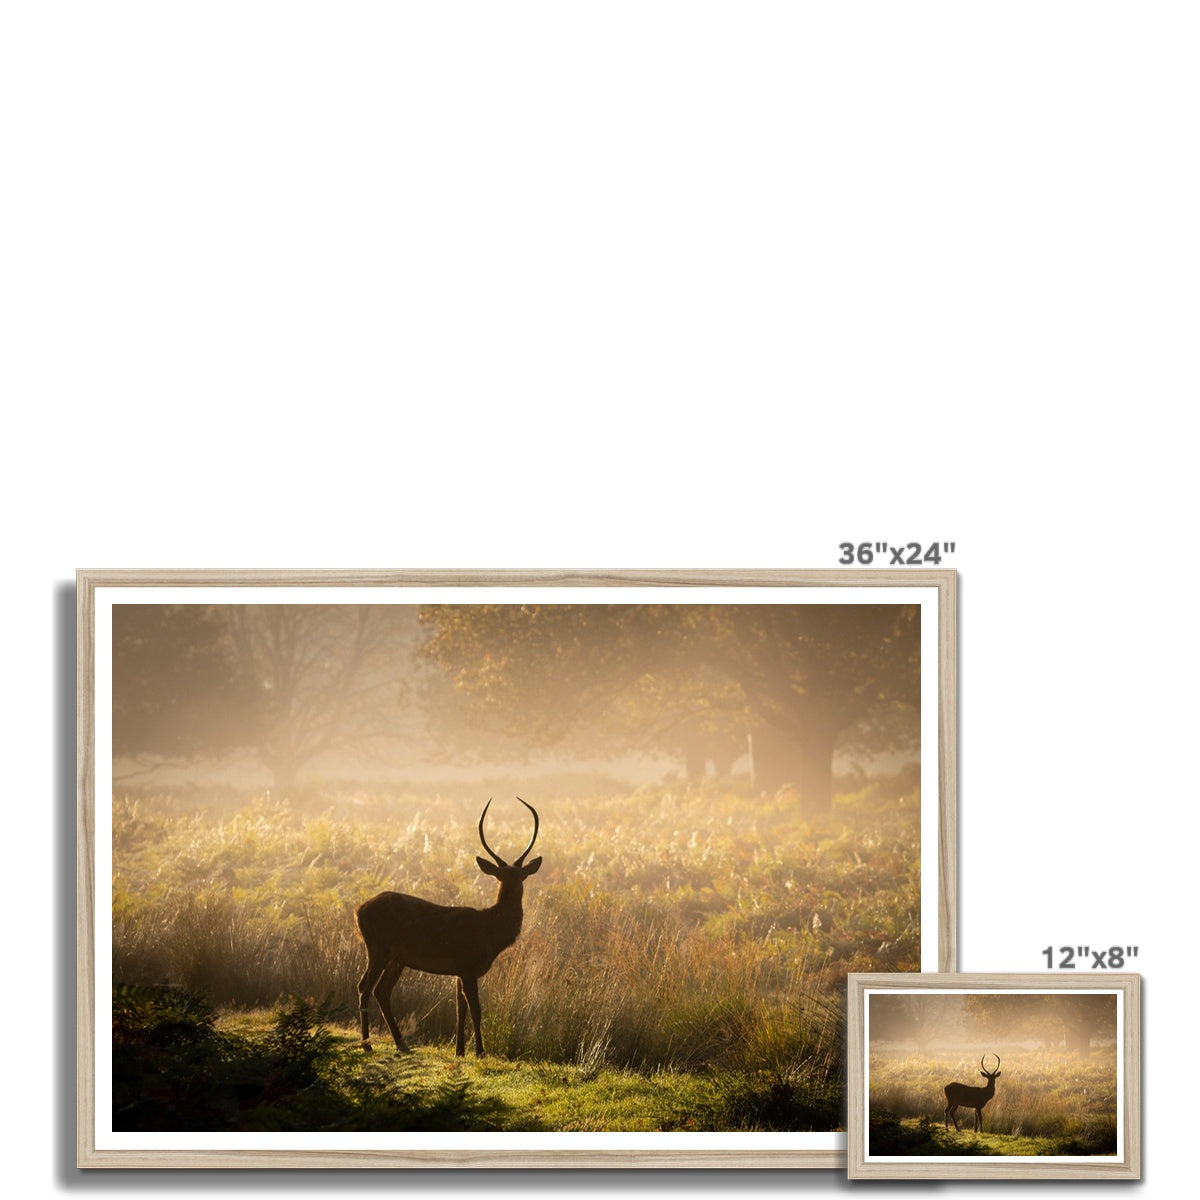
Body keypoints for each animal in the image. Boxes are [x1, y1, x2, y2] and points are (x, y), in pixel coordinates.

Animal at [354, 796, 542, 1056]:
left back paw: (401, 1043)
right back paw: (367, 1044)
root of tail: (357, 911)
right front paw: (480, 1052)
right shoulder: (468, 966)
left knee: (381, 990)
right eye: (503, 877)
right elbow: (476, 1010)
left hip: (396, 957)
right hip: (377, 948)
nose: (515, 892)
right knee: (364, 986)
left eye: (520, 876)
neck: (491, 935)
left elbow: (459, 1010)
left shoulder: (459, 970)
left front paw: (460, 1050)